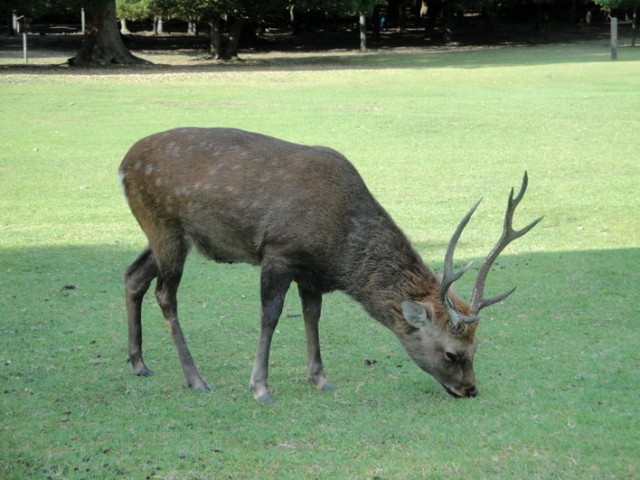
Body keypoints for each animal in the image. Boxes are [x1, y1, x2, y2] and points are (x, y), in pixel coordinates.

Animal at [119, 126, 540, 402]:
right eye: (453, 353)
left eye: (477, 346)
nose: (470, 389)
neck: (338, 249)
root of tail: (123, 166)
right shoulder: (279, 251)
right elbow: (270, 316)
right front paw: (260, 387)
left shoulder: (311, 272)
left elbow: (312, 315)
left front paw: (320, 379)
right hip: (165, 226)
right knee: (165, 295)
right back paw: (196, 379)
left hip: (164, 234)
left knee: (133, 275)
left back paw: (139, 363)